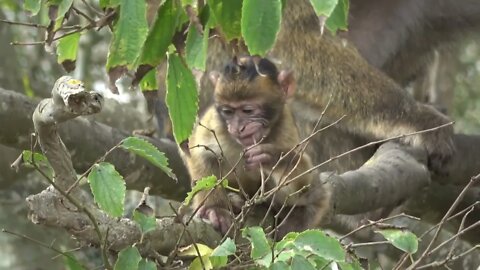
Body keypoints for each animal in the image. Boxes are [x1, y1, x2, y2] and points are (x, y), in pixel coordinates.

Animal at [182, 56, 328, 234]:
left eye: (248, 110)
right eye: (228, 112)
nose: (237, 128)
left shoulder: (285, 128)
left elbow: (302, 186)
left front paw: (275, 158)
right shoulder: (215, 123)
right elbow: (197, 152)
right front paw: (215, 209)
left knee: (315, 195)